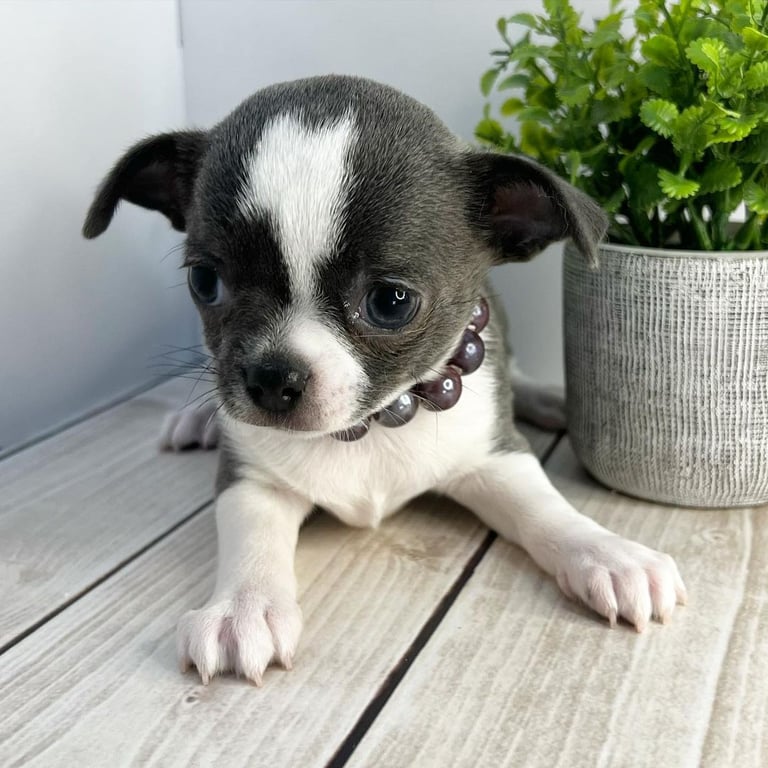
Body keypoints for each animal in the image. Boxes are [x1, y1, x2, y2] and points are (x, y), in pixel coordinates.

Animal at [83, 75, 686, 685]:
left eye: (390, 302)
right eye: (206, 281)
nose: (271, 376)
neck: (371, 426)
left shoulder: (497, 460)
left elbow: (545, 508)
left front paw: (607, 552)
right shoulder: (251, 481)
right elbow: (252, 537)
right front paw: (243, 607)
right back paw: (198, 418)